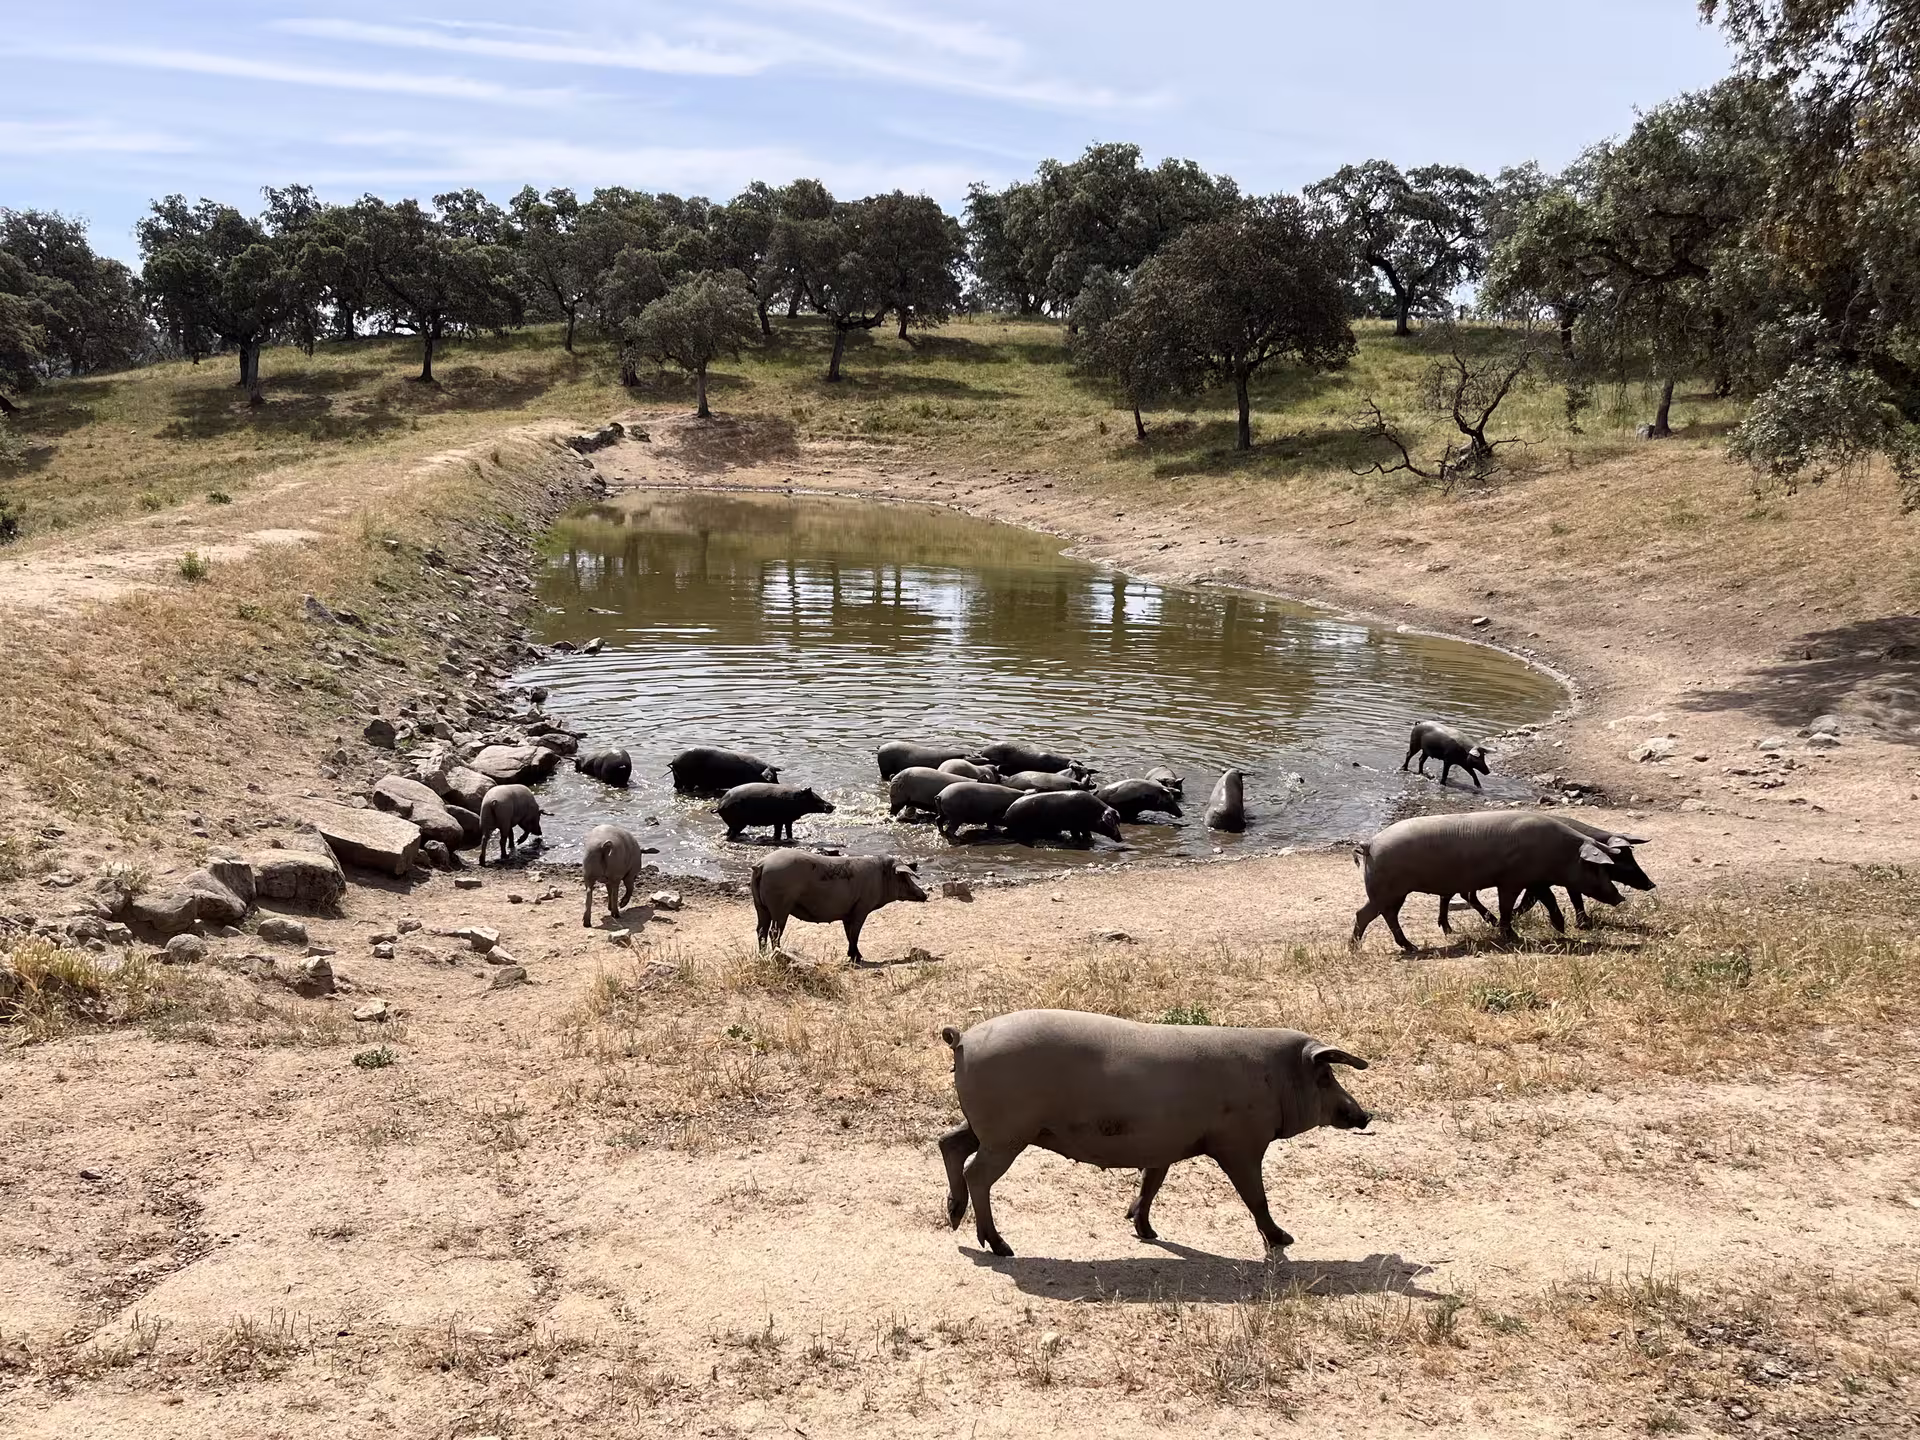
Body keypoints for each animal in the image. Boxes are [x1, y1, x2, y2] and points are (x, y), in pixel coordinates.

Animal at [750, 849, 929, 962]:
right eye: (904, 877)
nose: (925, 895)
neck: (881, 877)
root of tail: (761, 864)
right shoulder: (862, 907)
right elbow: (855, 933)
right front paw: (857, 958)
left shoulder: (847, 913)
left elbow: (848, 933)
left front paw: (855, 956)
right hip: (780, 905)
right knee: (774, 932)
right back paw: (777, 953)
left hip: (760, 905)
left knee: (760, 930)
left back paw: (762, 955)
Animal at [938, 1009, 1370, 1257]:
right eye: (1325, 1076)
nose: (1364, 1116)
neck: (1274, 1079)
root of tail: (963, 1039)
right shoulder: (1240, 1143)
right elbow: (1255, 1197)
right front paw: (1285, 1240)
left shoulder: (1163, 1144)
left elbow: (1152, 1183)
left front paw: (1145, 1230)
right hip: (1008, 1133)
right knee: (976, 1172)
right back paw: (1000, 1247)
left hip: (990, 1127)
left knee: (949, 1143)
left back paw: (955, 1217)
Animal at [1353, 811, 1655, 952]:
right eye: (1598, 867)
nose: (1620, 897)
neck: (1558, 852)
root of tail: (1369, 844)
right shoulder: (1512, 880)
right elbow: (1510, 905)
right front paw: (1512, 935)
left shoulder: (1536, 879)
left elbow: (1548, 899)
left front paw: (1560, 929)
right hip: (1388, 889)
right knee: (1367, 914)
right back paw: (1365, 948)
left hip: (1393, 893)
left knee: (1382, 915)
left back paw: (1404, 946)